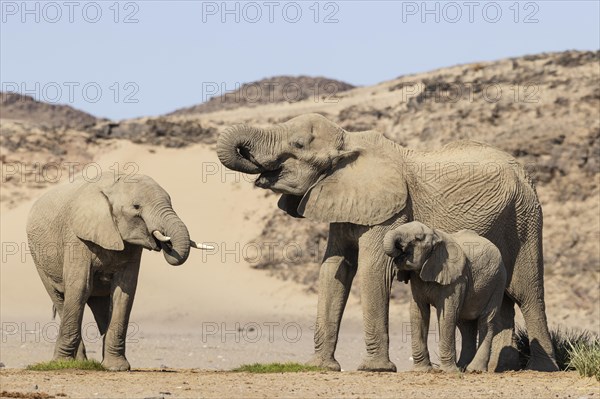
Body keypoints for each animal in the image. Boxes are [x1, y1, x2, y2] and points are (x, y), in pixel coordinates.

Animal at [382, 220, 504, 374]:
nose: (399, 249)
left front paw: (448, 371)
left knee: (486, 321)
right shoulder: (417, 279)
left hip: (497, 282)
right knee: (465, 324)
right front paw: (421, 370)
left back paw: (474, 370)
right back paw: (462, 367)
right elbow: (418, 312)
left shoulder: (457, 279)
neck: (436, 235)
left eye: (418, 238)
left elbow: (448, 314)